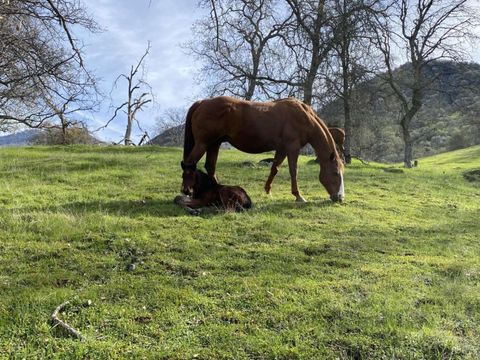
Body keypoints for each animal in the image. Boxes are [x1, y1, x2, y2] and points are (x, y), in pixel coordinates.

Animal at [181, 95, 344, 202]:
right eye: (335, 173)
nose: (340, 198)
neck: (303, 117)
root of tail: (203, 102)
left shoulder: (282, 149)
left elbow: (274, 169)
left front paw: (268, 190)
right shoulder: (292, 147)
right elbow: (293, 171)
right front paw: (298, 196)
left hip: (214, 144)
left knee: (210, 166)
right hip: (203, 143)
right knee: (189, 163)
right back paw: (186, 189)